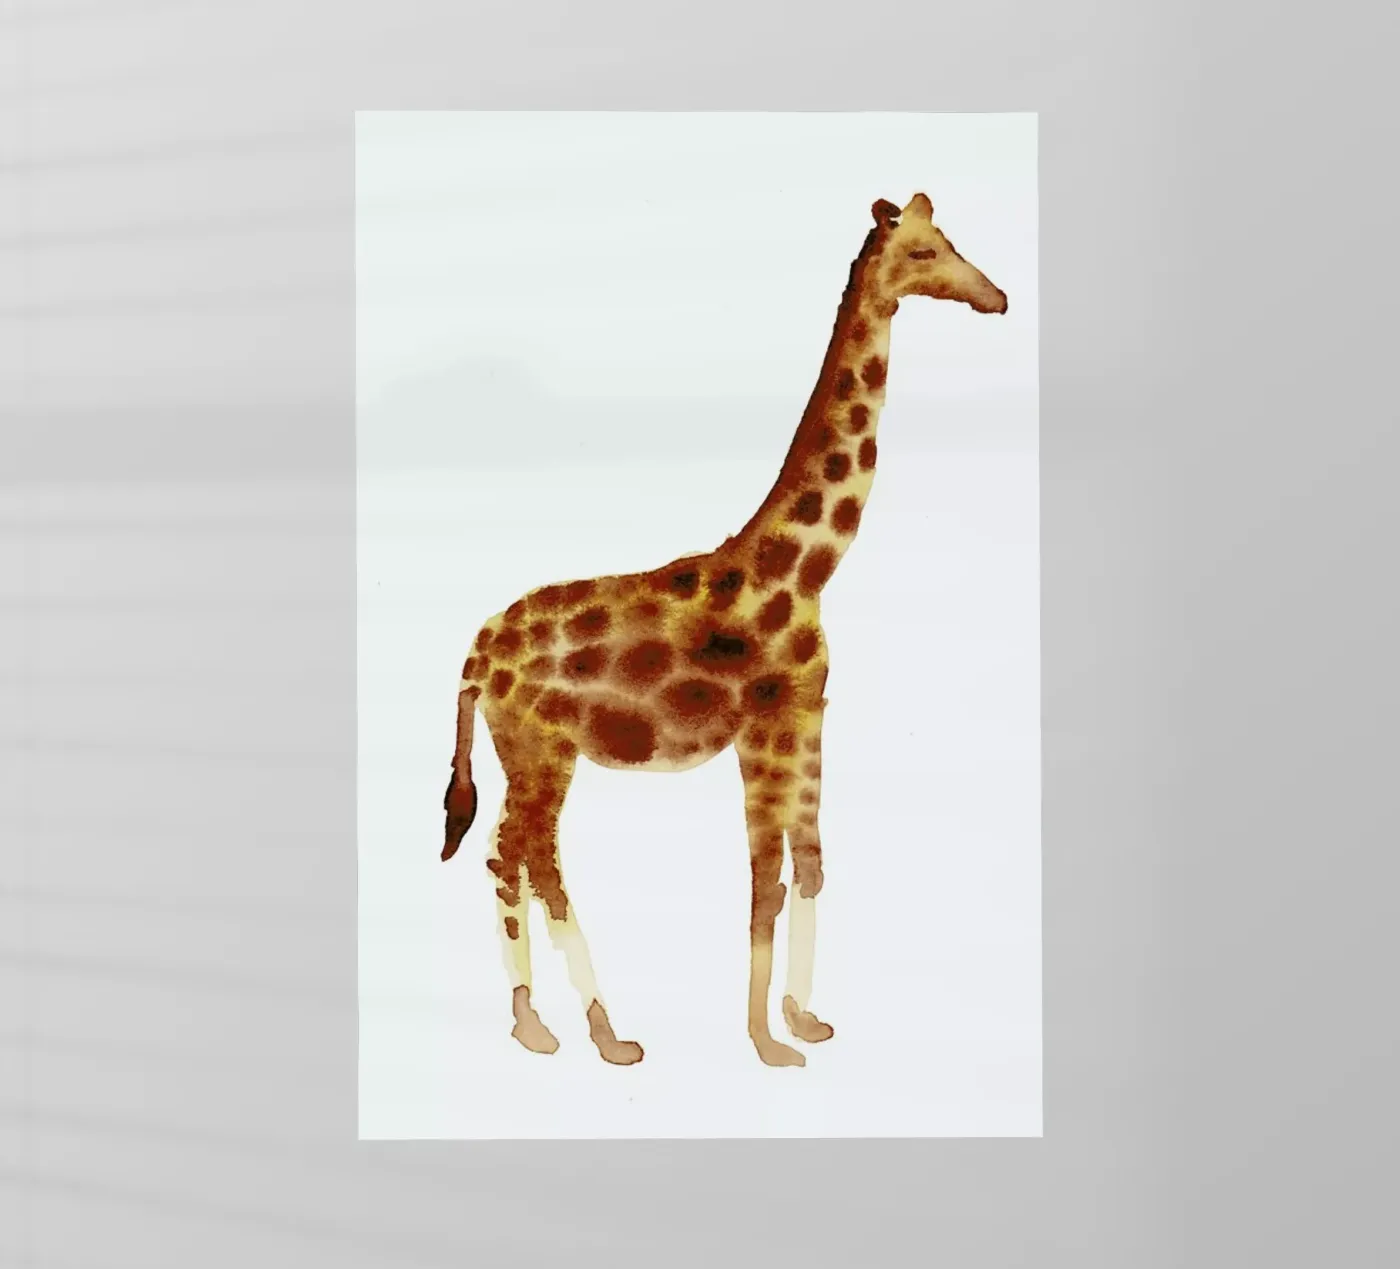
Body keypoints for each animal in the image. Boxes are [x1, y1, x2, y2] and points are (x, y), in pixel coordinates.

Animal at [442, 192, 1008, 1068]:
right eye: (923, 252)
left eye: (946, 241)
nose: (997, 296)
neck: (805, 570)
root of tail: (471, 658)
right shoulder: (763, 729)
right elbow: (763, 879)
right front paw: (766, 1043)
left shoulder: (806, 716)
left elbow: (808, 863)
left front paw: (804, 1019)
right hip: (539, 749)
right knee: (523, 857)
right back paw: (583, 1030)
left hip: (529, 751)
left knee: (522, 858)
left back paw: (560, 1025)